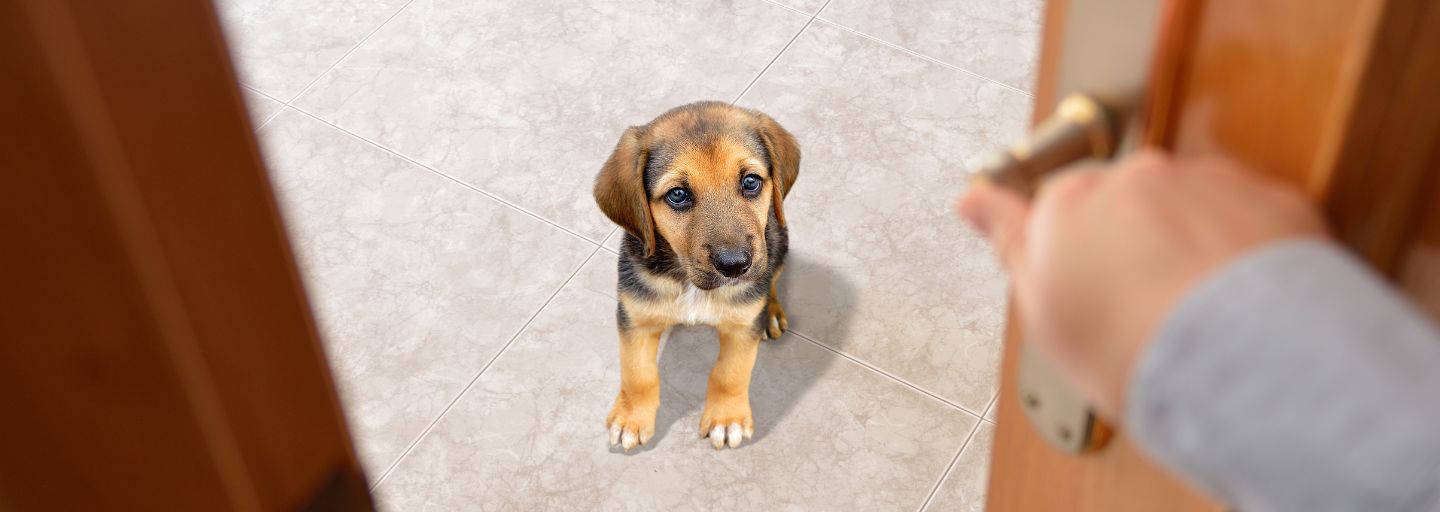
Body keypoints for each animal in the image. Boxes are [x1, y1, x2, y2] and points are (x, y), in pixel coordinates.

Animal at [593, 102, 800, 448]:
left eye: (751, 182)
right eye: (677, 194)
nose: (735, 265)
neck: (689, 281)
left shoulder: (742, 325)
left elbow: (730, 373)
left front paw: (727, 419)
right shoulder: (635, 318)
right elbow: (637, 373)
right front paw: (631, 417)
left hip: (779, 242)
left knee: (772, 279)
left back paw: (771, 313)